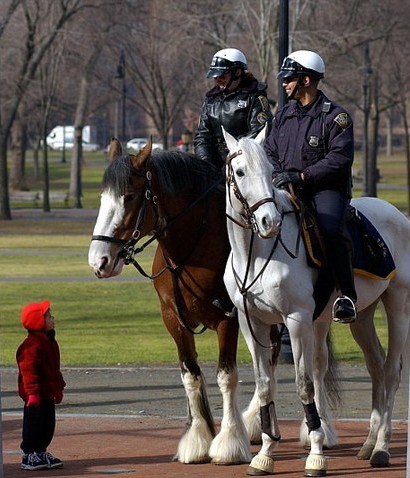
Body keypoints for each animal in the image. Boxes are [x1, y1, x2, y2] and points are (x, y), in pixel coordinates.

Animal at [88, 137, 262, 464]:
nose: (99, 261)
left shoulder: (228, 318)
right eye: (103, 197)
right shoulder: (174, 320)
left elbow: (226, 376)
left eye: (129, 196)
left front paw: (230, 441)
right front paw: (197, 439)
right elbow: (191, 375)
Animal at [224, 126, 410, 474]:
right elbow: (265, 385)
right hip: (362, 315)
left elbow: (304, 383)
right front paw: (264, 454)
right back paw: (368, 442)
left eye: (270, 171)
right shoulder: (252, 322)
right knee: (376, 367)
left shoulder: (296, 320)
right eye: (240, 172)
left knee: (392, 371)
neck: (256, 255)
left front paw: (316, 454)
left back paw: (381, 447)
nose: (270, 222)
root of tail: (397, 213)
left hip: (398, 304)